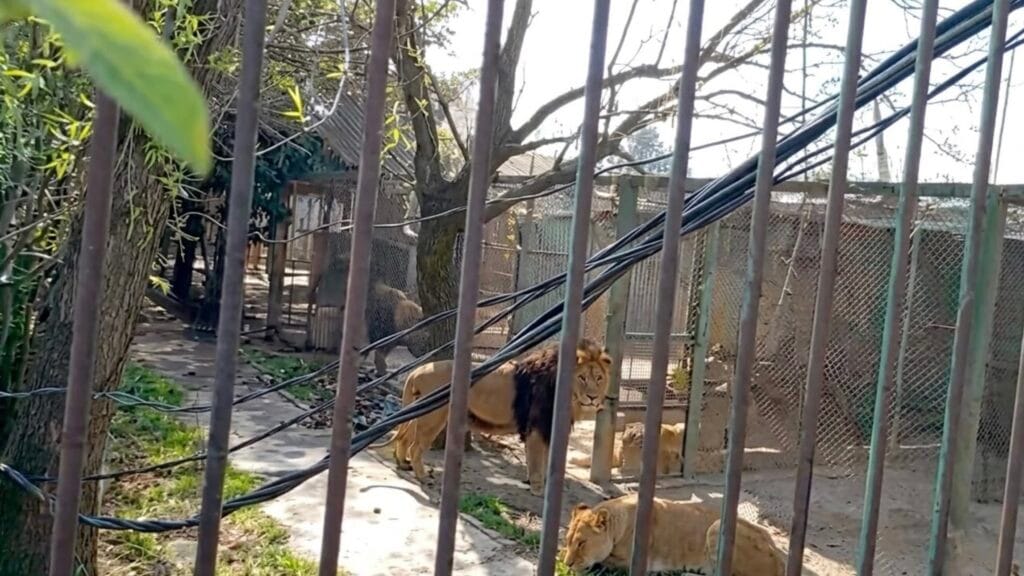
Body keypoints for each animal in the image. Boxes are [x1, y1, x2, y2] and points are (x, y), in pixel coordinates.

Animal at [377, 339, 611, 495]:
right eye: (582, 378)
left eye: (599, 378)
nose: (592, 397)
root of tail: (416, 370)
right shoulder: (537, 427)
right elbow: (537, 461)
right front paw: (538, 488)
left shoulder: (544, 428)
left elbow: (542, 460)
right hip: (433, 418)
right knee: (415, 446)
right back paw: (423, 476)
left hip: (419, 414)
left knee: (404, 438)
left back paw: (403, 464)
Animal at [562, 494, 784, 575]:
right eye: (568, 542)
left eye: (582, 543)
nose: (567, 564)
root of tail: (779, 555)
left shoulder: (636, 561)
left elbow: (603, 561)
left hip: (716, 526)